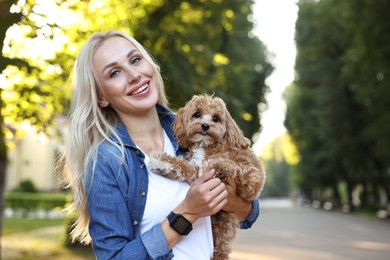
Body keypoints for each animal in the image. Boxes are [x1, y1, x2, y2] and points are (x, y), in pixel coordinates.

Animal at [149, 94, 266, 258]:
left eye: (216, 118)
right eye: (197, 114)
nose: (205, 126)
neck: (206, 145)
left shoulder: (252, 175)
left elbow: (230, 165)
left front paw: (214, 166)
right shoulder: (194, 170)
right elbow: (181, 166)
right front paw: (161, 161)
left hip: (226, 222)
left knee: (222, 248)